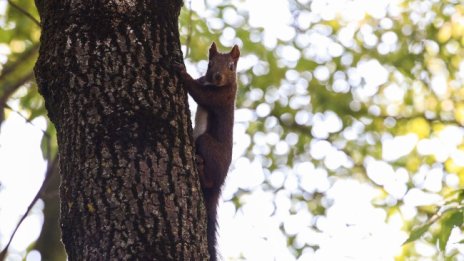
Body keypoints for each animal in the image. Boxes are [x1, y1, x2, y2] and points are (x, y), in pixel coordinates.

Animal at [174, 41, 239, 258]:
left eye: (231, 66)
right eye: (210, 63)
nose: (218, 76)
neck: (216, 85)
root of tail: (220, 184)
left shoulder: (222, 98)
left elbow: (200, 94)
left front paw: (183, 73)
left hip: (206, 142)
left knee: (209, 180)